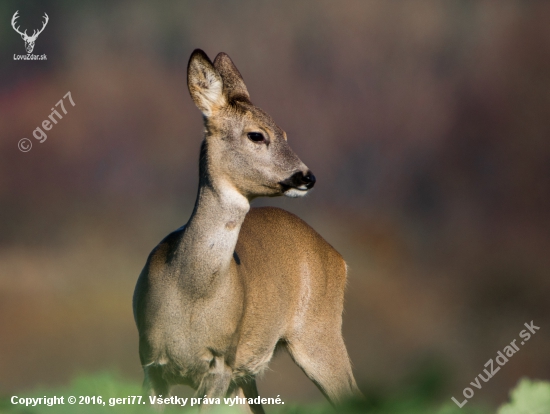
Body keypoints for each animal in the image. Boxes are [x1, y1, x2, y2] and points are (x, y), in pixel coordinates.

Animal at [134, 50, 362, 412]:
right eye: (257, 135)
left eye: (285, 134)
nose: (307, 177)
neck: (190, 294)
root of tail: (338, 258)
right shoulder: (150, 364)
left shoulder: (221, 363)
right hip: (249, 376)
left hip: (318, 330)